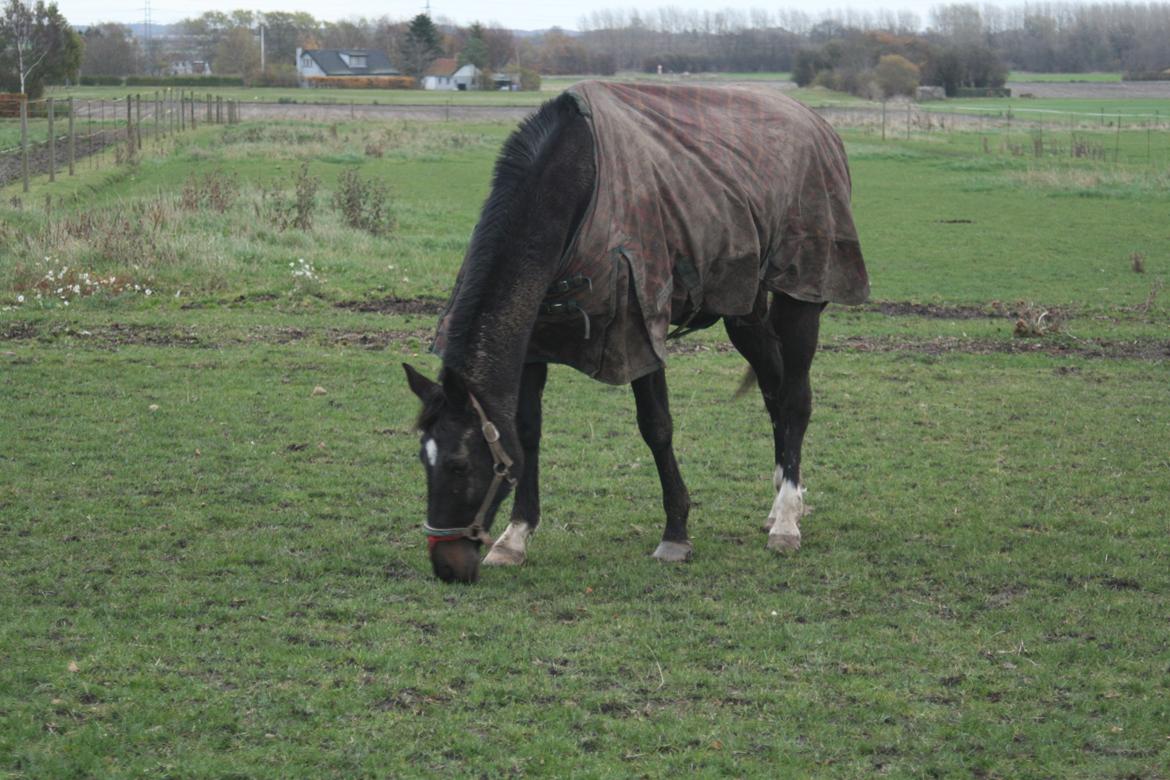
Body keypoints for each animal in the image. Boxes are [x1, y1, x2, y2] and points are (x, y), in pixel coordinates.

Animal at [404, 85, 870, 584]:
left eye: (458, 464)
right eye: (423, 459)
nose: (447, 566)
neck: (576, 184)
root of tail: (818, 125)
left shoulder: (638, 331)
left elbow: (657, 427)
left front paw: (676, 533)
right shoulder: (535, 339)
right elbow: (527, 432)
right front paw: (516, 537)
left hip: (800, 297)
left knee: (795, 398)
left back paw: (785, 520)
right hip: (743, 308)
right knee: (772, 388)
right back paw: (783, 498)